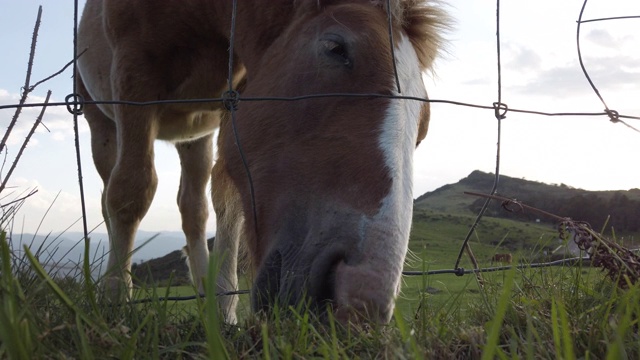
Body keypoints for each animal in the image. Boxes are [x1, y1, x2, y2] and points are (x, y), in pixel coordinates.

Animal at [76, 0, 444, 324]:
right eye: (335, 48)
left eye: (423, 128)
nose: (360, 301)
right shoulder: (132, 79)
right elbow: (131, 193)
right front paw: (116, 302)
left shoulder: (236, 93)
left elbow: (227, 202)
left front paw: (223, 311)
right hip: (103, 124)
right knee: (110, 196)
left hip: (195, 136)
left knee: (193, 208)